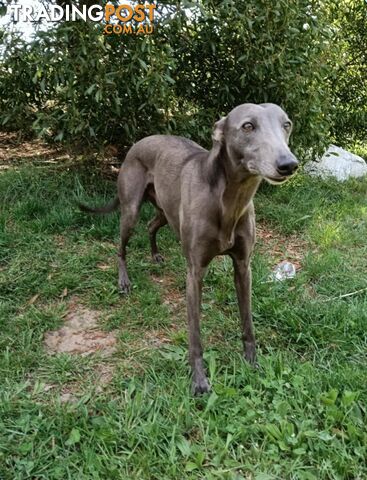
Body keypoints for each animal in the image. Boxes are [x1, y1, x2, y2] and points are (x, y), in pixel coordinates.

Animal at [80, 102, 300, 394]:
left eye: (287, 124)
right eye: (248, 126)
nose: (288, 164)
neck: (229, 200)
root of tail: (139, 142)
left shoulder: (243, 266)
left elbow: (248, 322)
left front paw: (252, 363)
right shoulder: (195, 272)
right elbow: (195, 336)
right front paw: (199, 380)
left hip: (165, 211)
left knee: (151, 225)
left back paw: (155, 255)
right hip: (131, 209)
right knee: (121, 246)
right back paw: (124, 281)